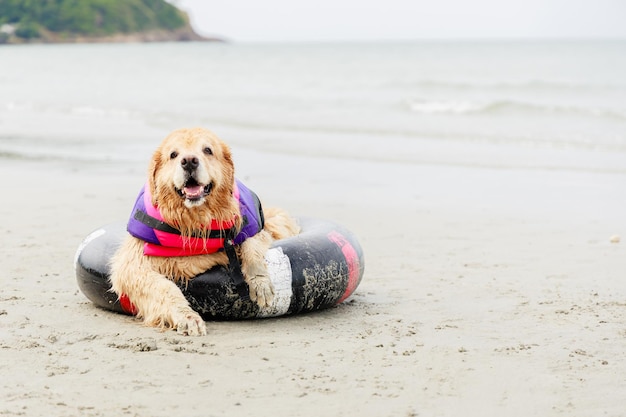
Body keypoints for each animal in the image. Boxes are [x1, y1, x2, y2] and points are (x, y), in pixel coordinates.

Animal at [108, 127, 298, 334]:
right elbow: (163, 286)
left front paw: (260, 282)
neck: (196, 218)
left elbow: (252, 244)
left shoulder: (252, 226)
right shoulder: (132, 263)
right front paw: (187, 316)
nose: (189, 161)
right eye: (173, 154)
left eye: (207, 150)